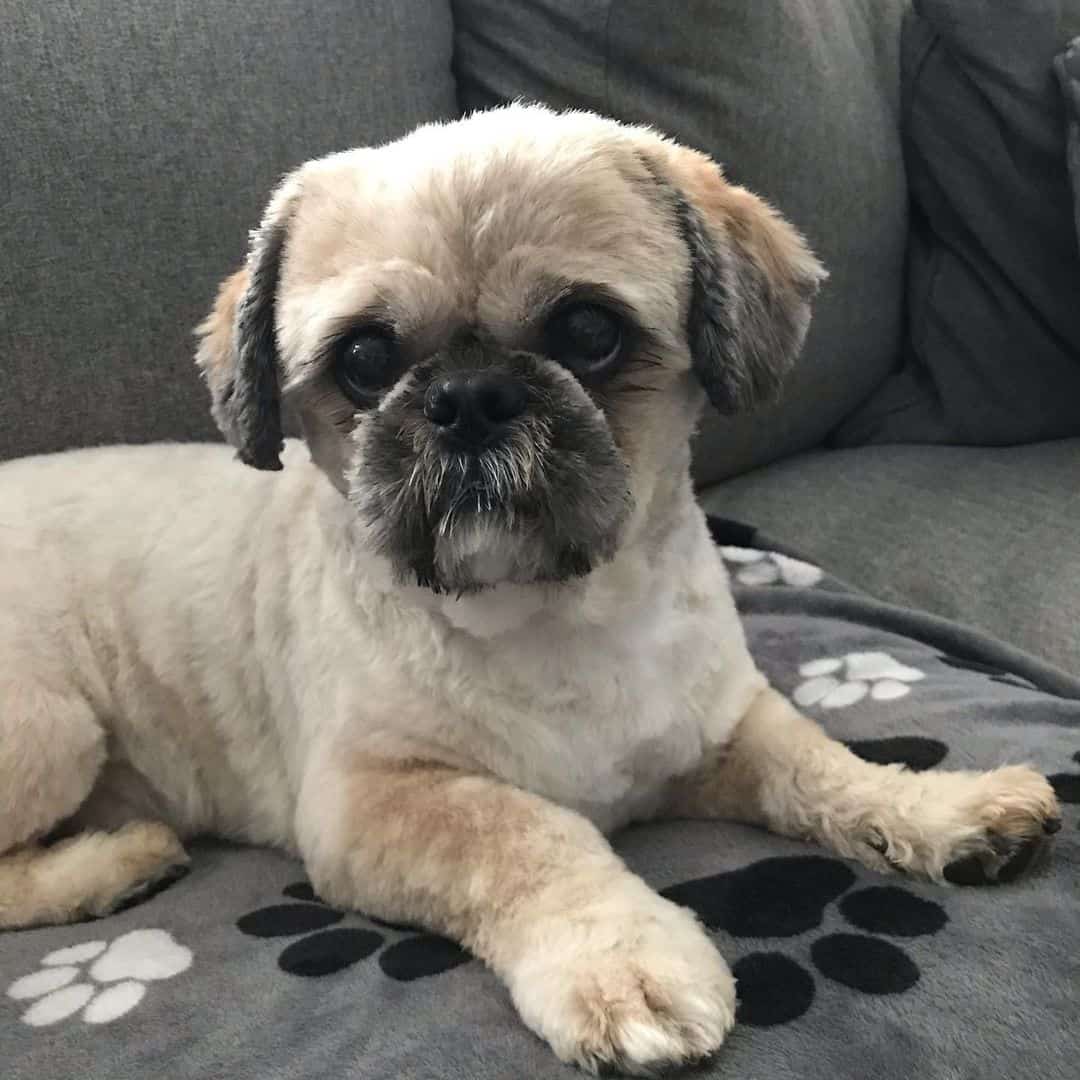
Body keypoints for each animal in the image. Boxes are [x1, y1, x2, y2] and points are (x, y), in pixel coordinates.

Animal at [0, 107, 1062, 1071]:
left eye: (590, 332)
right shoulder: (368, 805)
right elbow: (526, 832)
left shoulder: (720, 723)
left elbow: (822, 768)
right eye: (365, 360)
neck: (553, 617)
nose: (468, 398)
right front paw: (621, 961)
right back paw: (114, 863)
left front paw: (940, 811)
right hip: (54, 729)